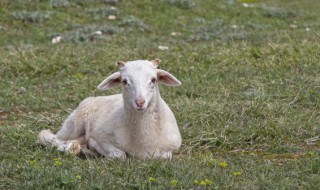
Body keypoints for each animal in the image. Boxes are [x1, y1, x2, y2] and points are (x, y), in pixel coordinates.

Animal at [37, 59, 182, 159]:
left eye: (153, 80)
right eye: (124, 81)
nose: (140, 102)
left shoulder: (171, 148)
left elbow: (165, 156)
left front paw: (89, 150)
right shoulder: (102, 138)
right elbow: (119, 155)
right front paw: (94, 148)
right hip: (74, 124)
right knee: (50, 138)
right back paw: (69, 148)